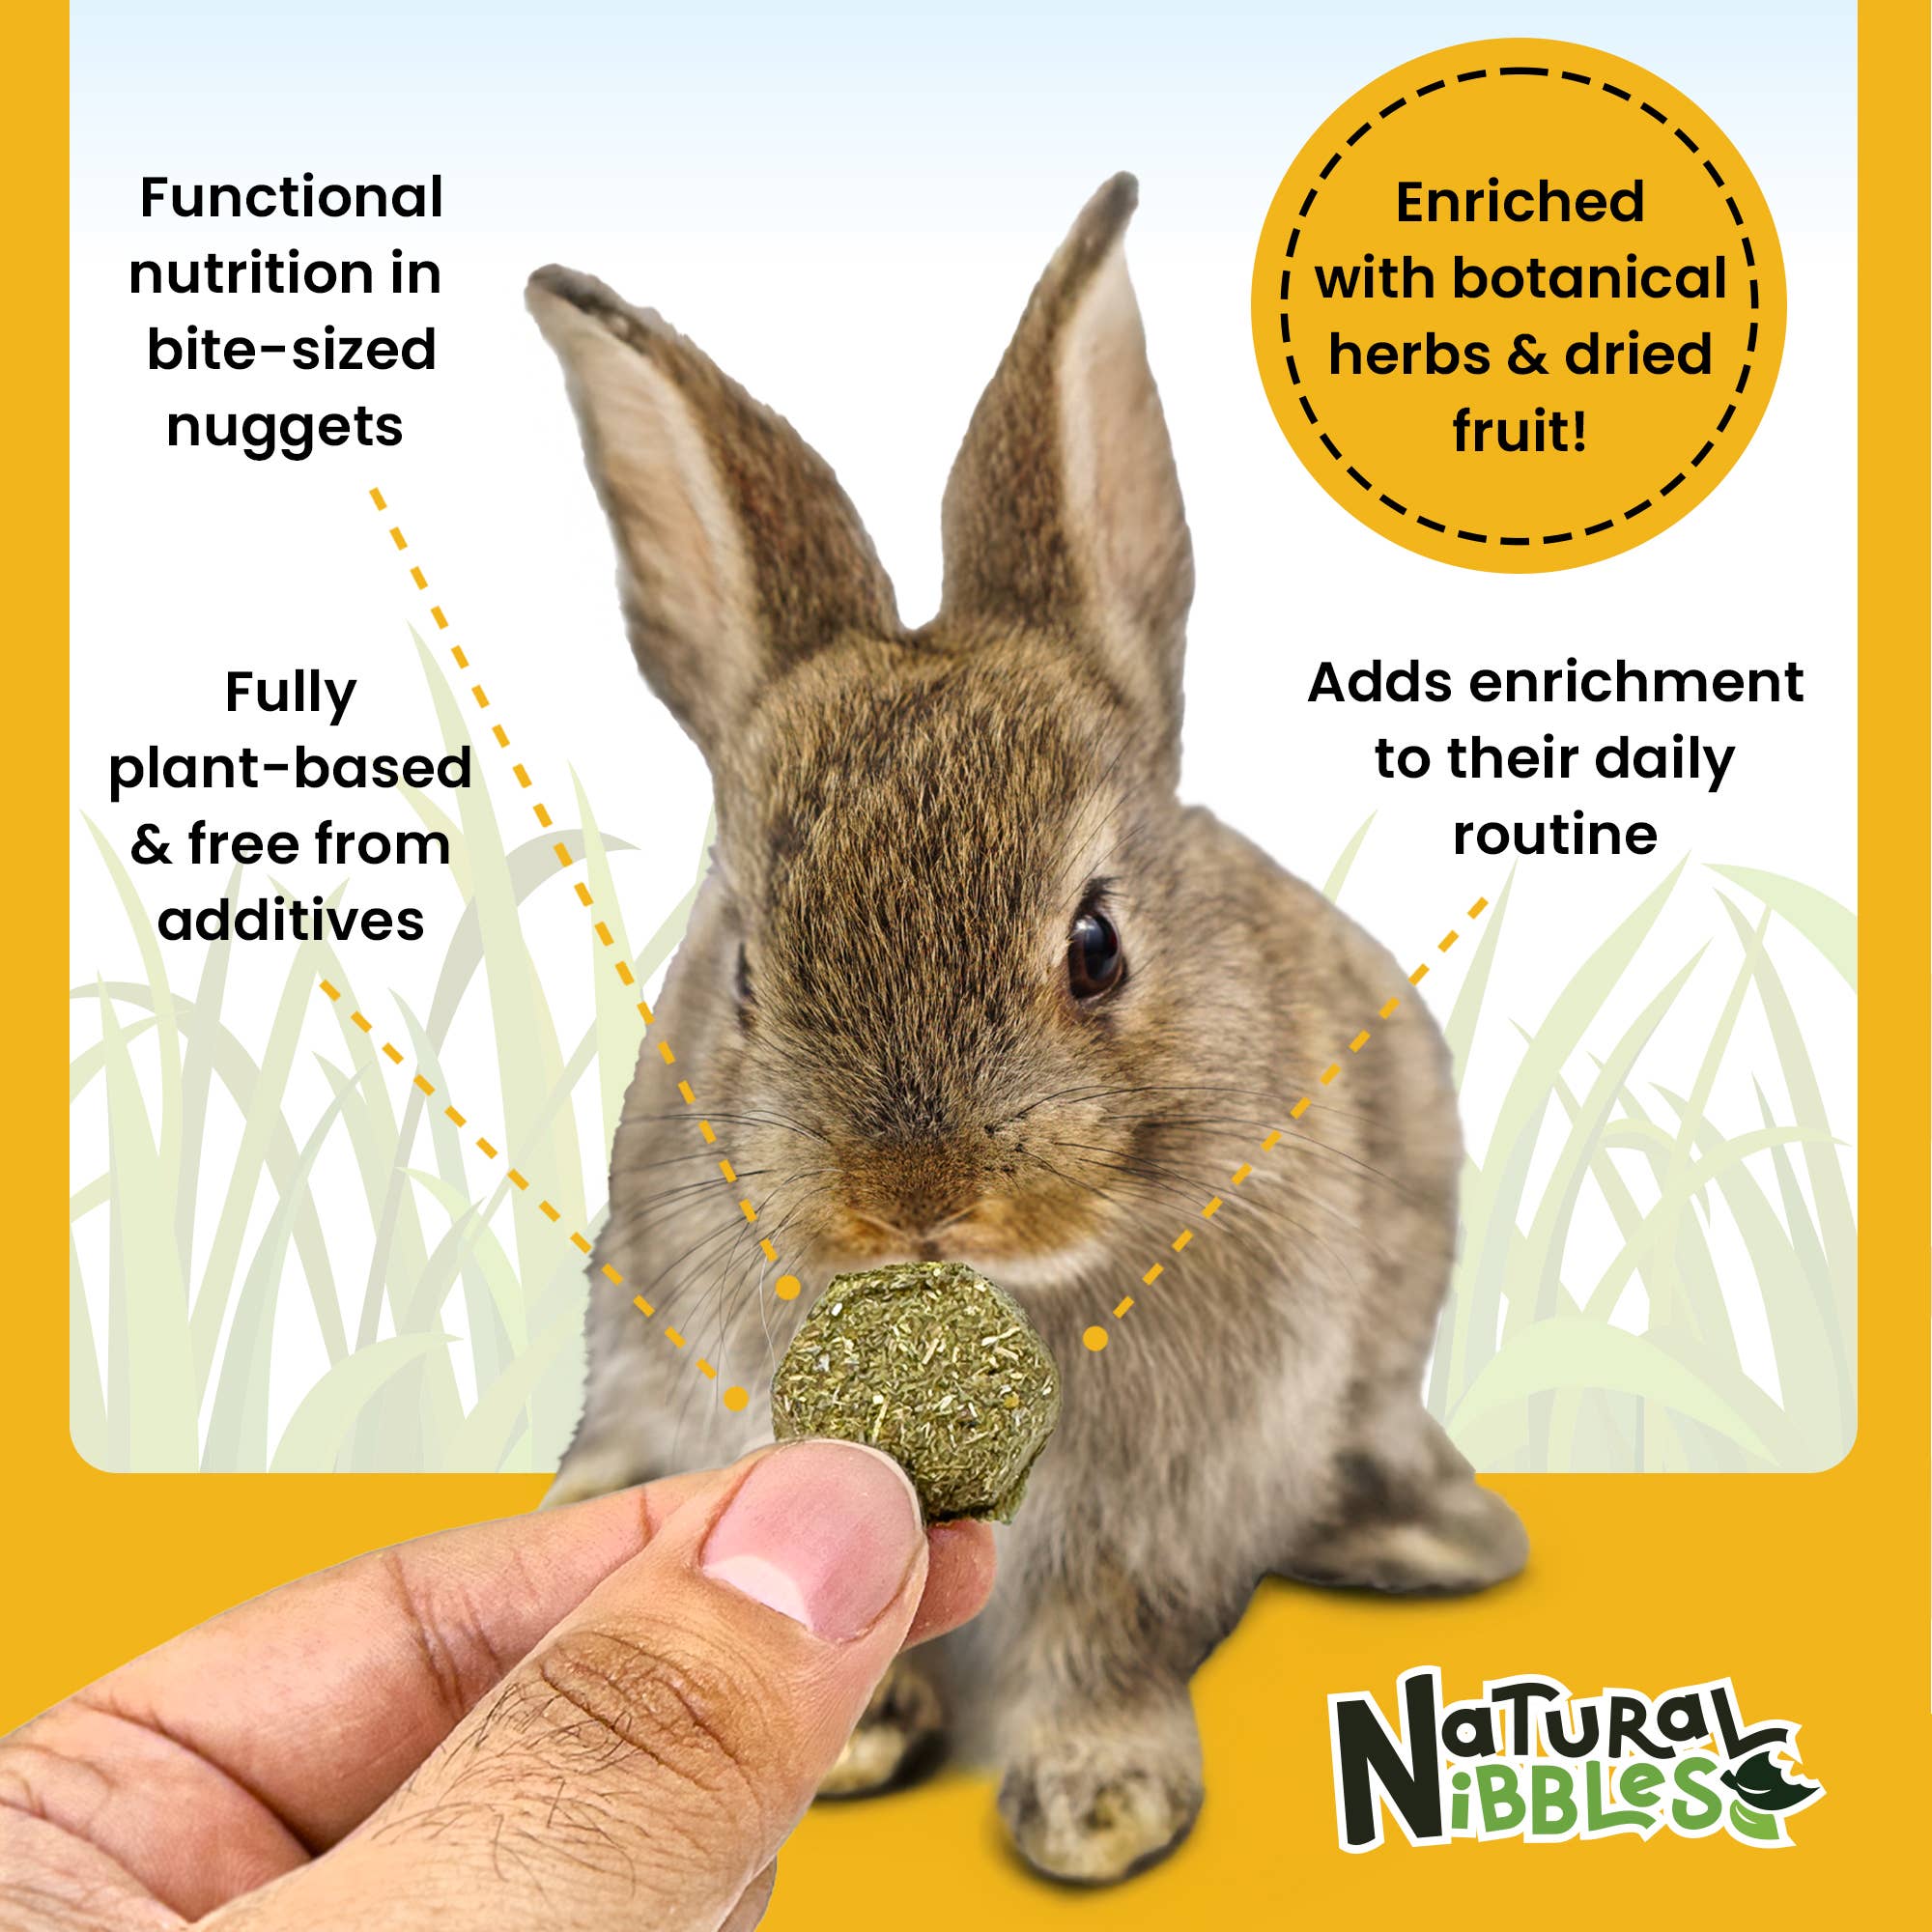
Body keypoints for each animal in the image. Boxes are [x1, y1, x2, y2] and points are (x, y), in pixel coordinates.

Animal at [525, 172, 1526, 1886]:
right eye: (744, 975)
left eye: (1096, 947)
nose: (914, 1198)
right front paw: (863, 1737)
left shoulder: (1168, 1505)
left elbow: (1109, 1640)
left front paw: (1098, 1808)